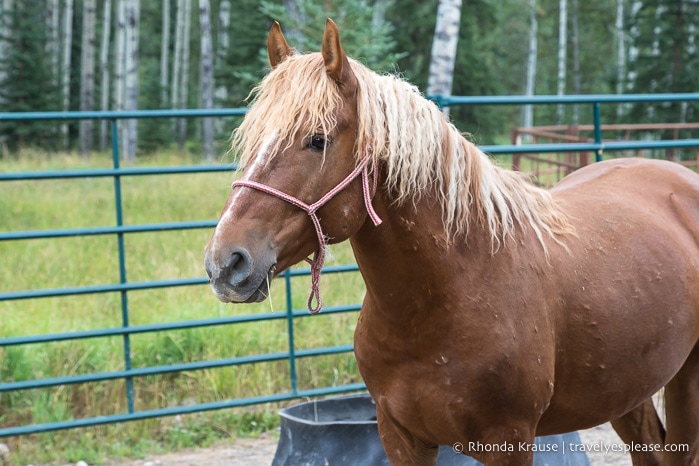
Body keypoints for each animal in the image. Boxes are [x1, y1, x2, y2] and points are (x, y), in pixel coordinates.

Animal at [205, 19, 699, 466]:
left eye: (317, 140)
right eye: (249, 141)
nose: (225, 263)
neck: (447, 294)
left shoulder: (509, 441)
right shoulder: (401, 437)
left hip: (685, 381)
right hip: (626, 388)